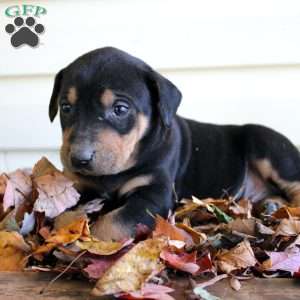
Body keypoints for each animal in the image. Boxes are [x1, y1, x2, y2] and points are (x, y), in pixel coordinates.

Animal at [49, 48, 300, 243]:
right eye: (66, 107)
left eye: (120, 109)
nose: (78, 159)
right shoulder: (80, 186)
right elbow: (63, 213)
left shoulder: (155, 194)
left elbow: (113, 222)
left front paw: (86, 242)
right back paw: (271, 206)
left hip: (270, 147)